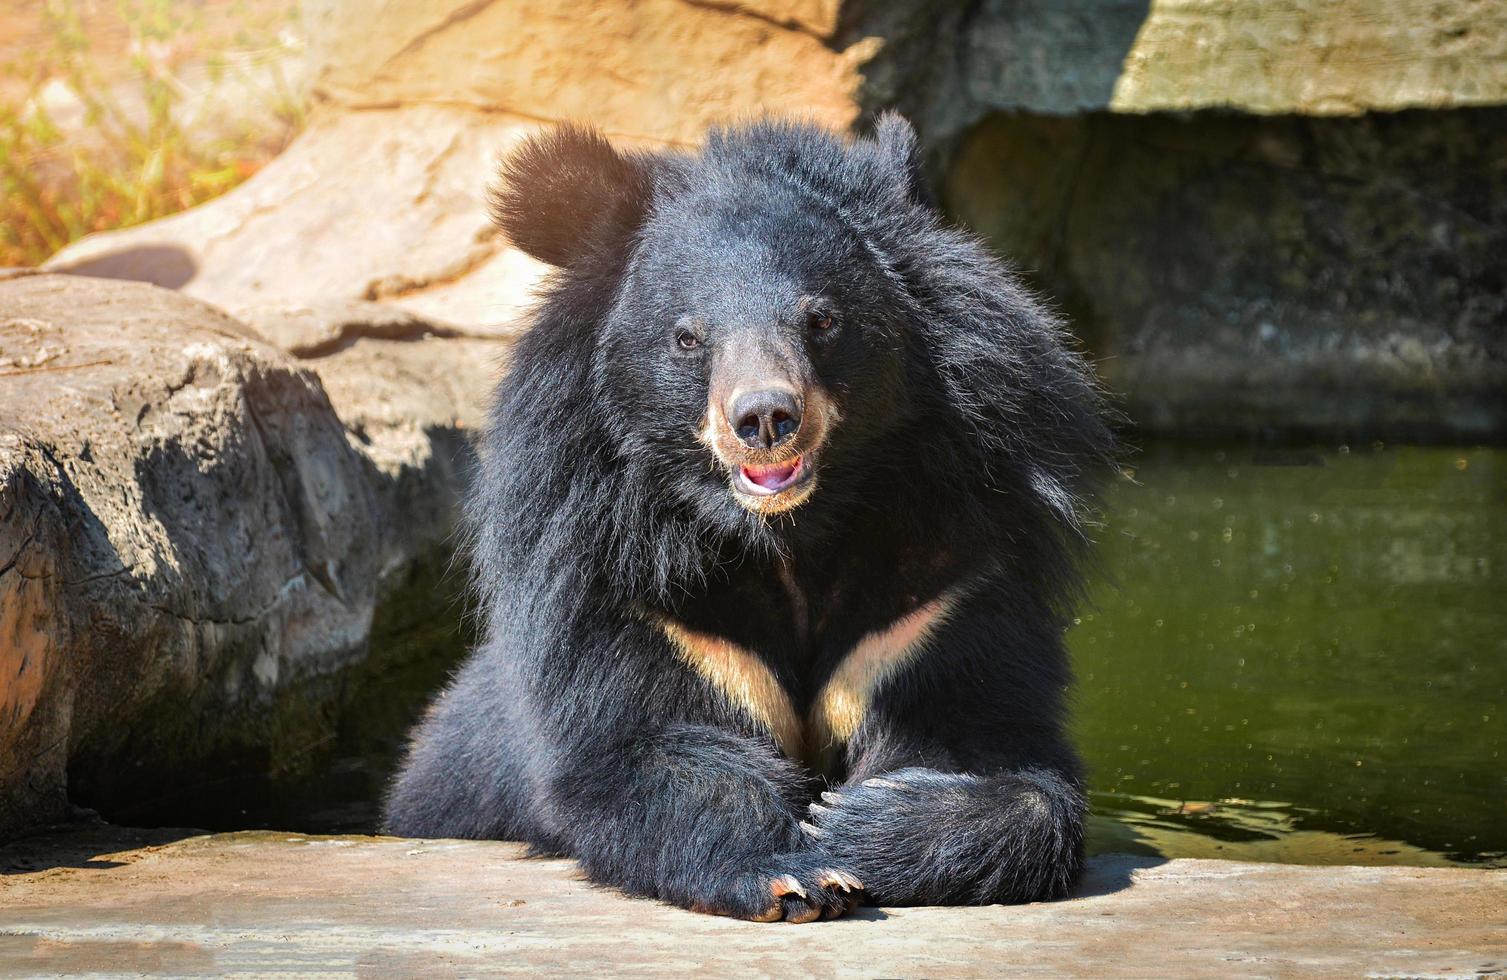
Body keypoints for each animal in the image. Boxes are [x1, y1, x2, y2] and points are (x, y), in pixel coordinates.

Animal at [385, 110, 1121, 922]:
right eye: (687, 336)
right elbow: (643, 752)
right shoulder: (636, 591)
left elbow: (1000, 753)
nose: (765, 417)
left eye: (821, 319)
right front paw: (792, 871)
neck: (787, 539)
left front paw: (863, 821)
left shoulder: (937, 592)